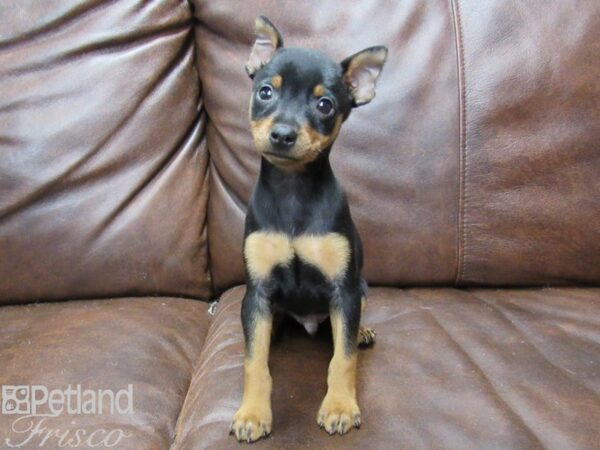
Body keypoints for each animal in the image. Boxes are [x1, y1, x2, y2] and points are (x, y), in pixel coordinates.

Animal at [232, 16, 386, 442]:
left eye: (325, 105)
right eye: (265, 91)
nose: (283, 134)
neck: (293, 190)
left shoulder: (344, 291)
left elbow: (343, 359)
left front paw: (340, 406)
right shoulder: (257, 292)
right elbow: (254, 362)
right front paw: (253, 413)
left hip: (359, 290)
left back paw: (361, 332)